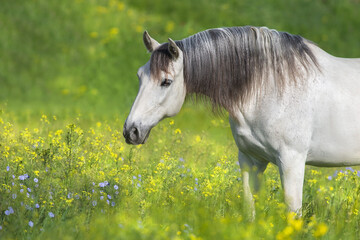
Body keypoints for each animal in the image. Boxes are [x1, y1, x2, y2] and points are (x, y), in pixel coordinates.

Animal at [124, 26, 360, 218]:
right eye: (139, 76)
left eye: (166, 81)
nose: (131, 131)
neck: (269, 86)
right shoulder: (250, 160)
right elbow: (250, 207)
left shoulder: (292, 161)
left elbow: (293, 212)